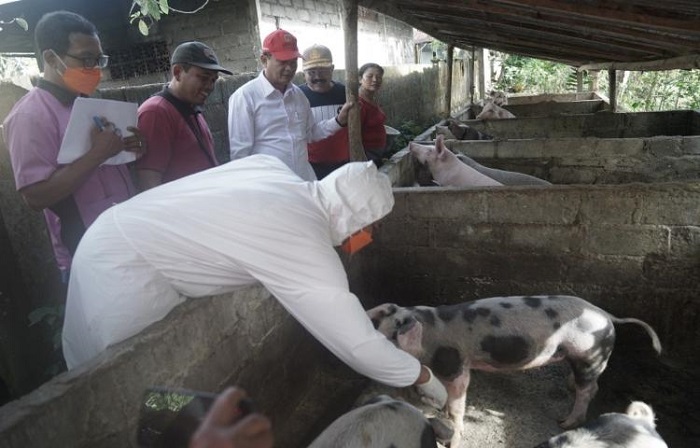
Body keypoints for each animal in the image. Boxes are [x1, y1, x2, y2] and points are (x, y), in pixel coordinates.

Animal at [366, 296, 660, 446]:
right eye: (378, 331)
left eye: (391, 339)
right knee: (590, 384)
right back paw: (569, 387)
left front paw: (454, 432)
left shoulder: (457, 366)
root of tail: (607, 316)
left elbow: (458, 403)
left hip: (588, 354)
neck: (429, 331)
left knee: (588, 390)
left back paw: (565, 422)